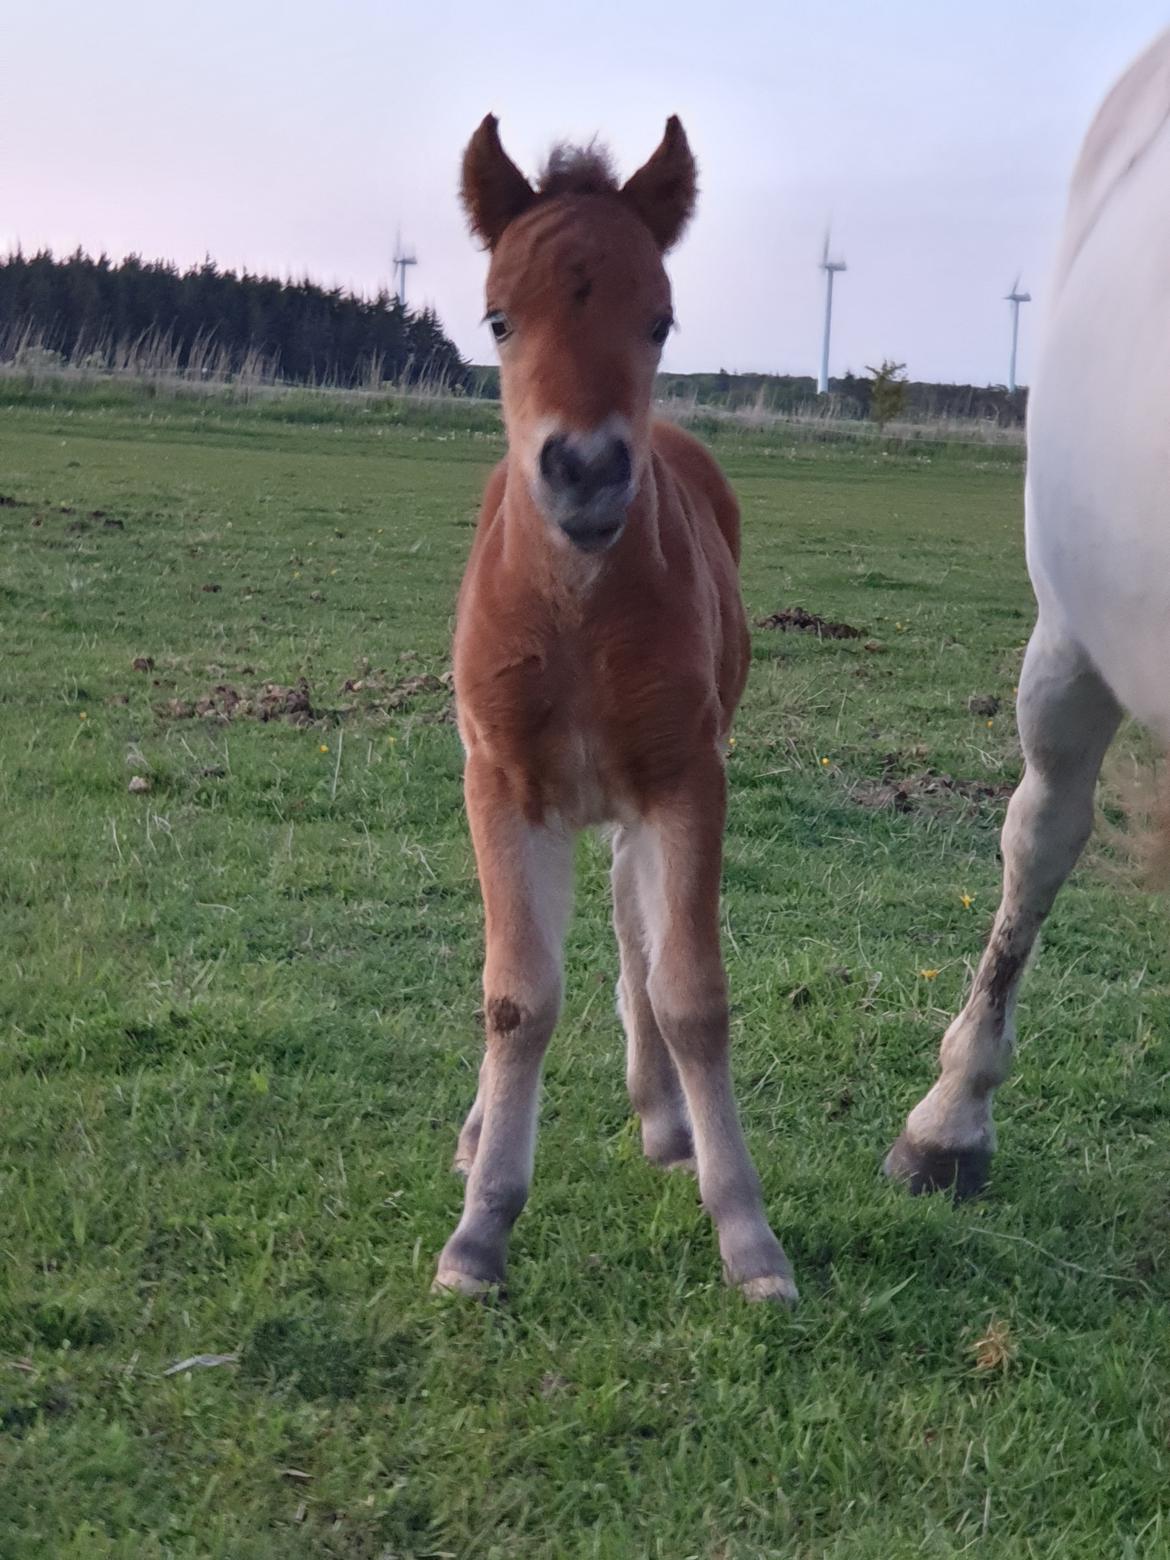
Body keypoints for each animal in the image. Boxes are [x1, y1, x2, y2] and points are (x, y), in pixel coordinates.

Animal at [436, 113, 798, 1304]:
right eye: (499, 318)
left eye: (659, 319)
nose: (588, 470)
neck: (580, 619)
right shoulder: (502, 781)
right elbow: (515, 994)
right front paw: (479, 1228)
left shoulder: (687, 776)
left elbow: (689, 990)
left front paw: (748, 1234)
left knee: (638, 939)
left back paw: (664, 1118)